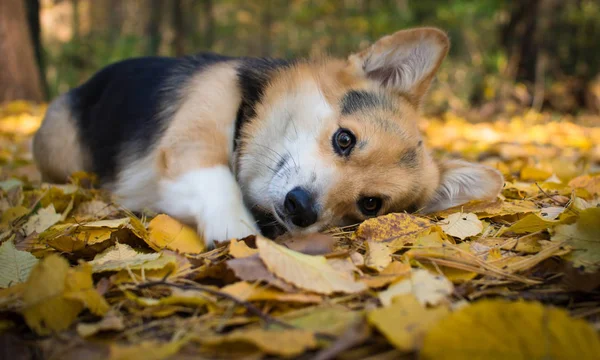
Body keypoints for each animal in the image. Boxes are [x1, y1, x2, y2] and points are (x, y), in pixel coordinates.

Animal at [31, 27, 502, 248]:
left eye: (370, 204)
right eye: (344, 139)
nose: (301, 209)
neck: (249, 117)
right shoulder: (190, 143)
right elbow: (215, 178)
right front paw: (237, 229)